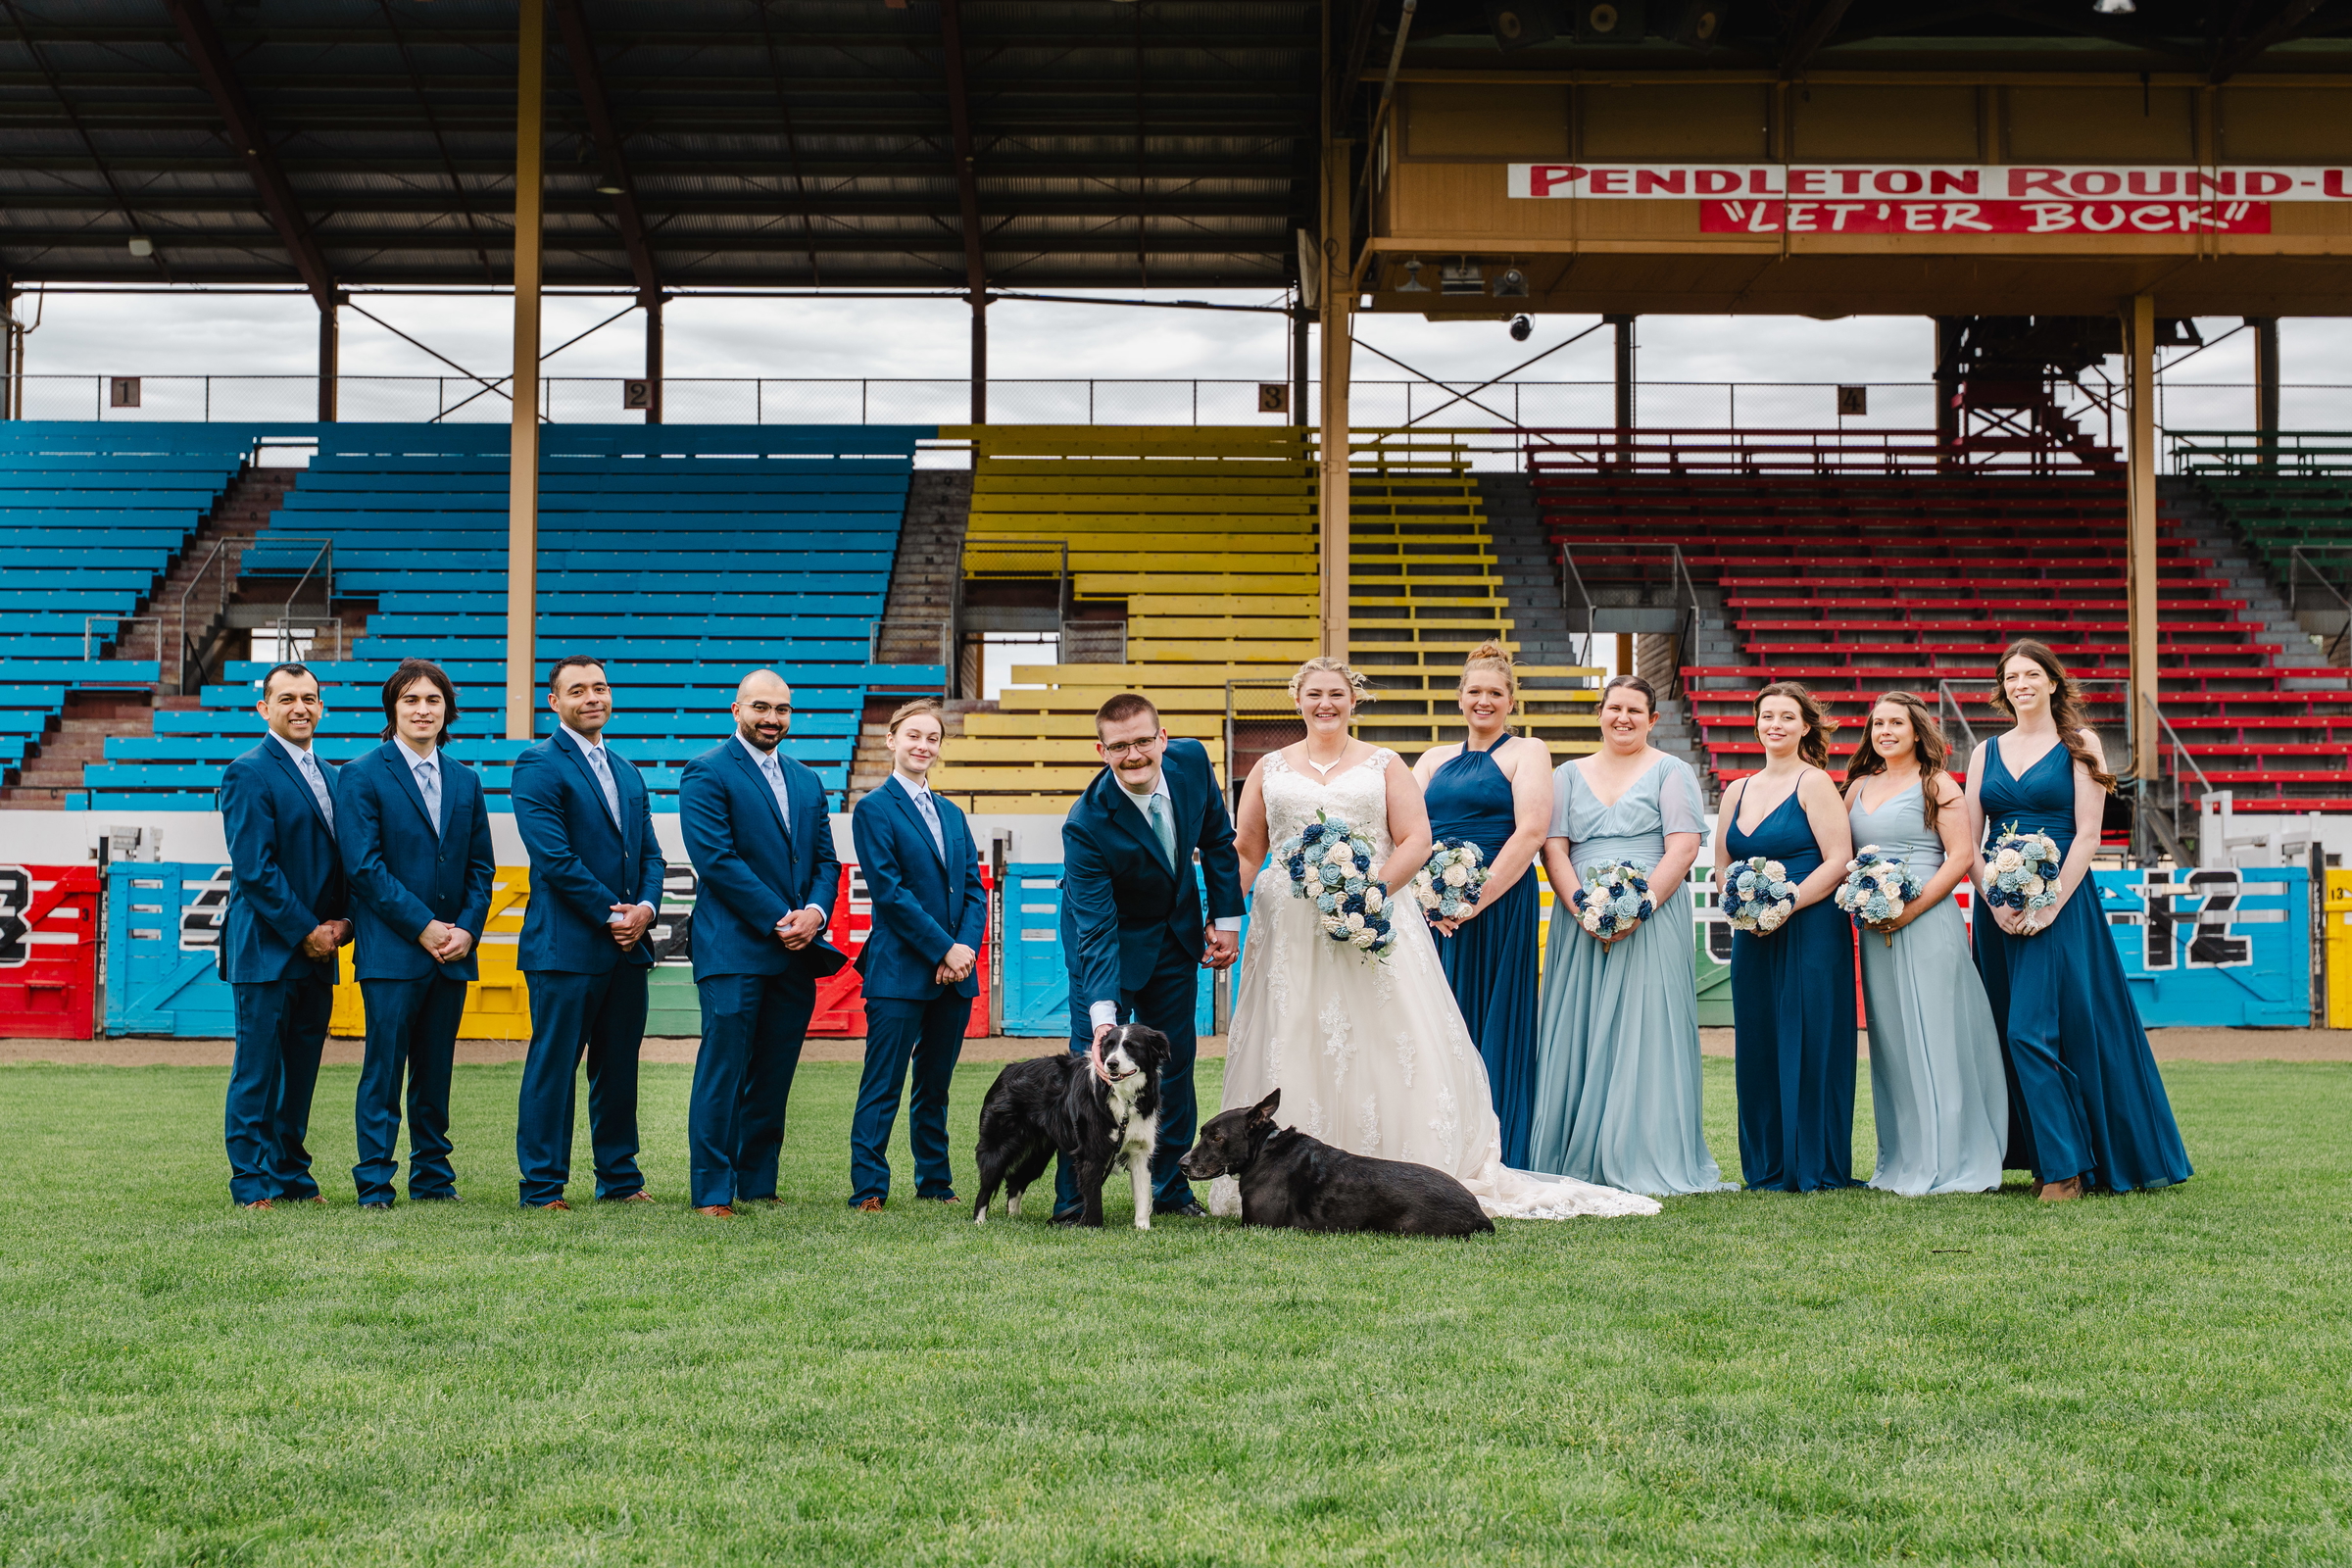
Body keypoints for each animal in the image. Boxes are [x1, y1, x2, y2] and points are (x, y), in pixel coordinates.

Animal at [971, 1024, 1169, 1229]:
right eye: (1109, 1046)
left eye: (1131, 1046)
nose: (1111, 1064)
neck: (1124, 1099)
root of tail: (1007, 1070)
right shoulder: (1091, 1152)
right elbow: (1093, 1198)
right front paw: (1093, 1228)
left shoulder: (1140, 1151)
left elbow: (1142, 1195)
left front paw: (1143, 1228)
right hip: (999, 1146)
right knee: (986, 1186)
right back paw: (979, 1221)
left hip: (1038, 1153)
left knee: (1016, 1181)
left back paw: (1014, 1218)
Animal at [1177, 1089, 1494, 1237]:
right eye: (1202, 1133)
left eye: (1217, 1138)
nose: (1181, 1164)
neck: (1264, 1149)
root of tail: (1479, 1213)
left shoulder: (1257, 1225)